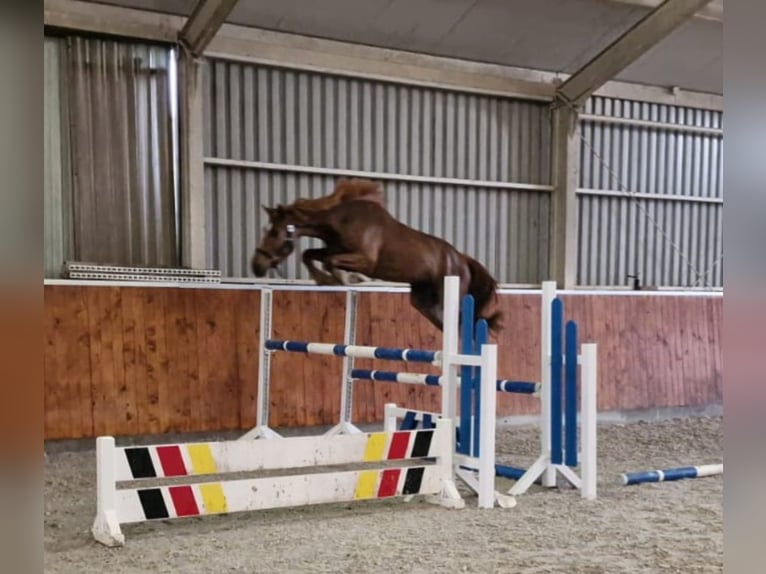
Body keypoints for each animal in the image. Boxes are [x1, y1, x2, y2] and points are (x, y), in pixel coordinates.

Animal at [250, 178, 504, 336]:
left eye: (274, 233)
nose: (256, 266)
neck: (339, 220)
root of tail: (462, 259)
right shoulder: (333, 249)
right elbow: (309, 254)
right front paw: (325, 280)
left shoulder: (366, 261)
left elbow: (330, 262)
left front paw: (344, 280)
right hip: (422, 300)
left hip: (448, 294)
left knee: (462, 324)